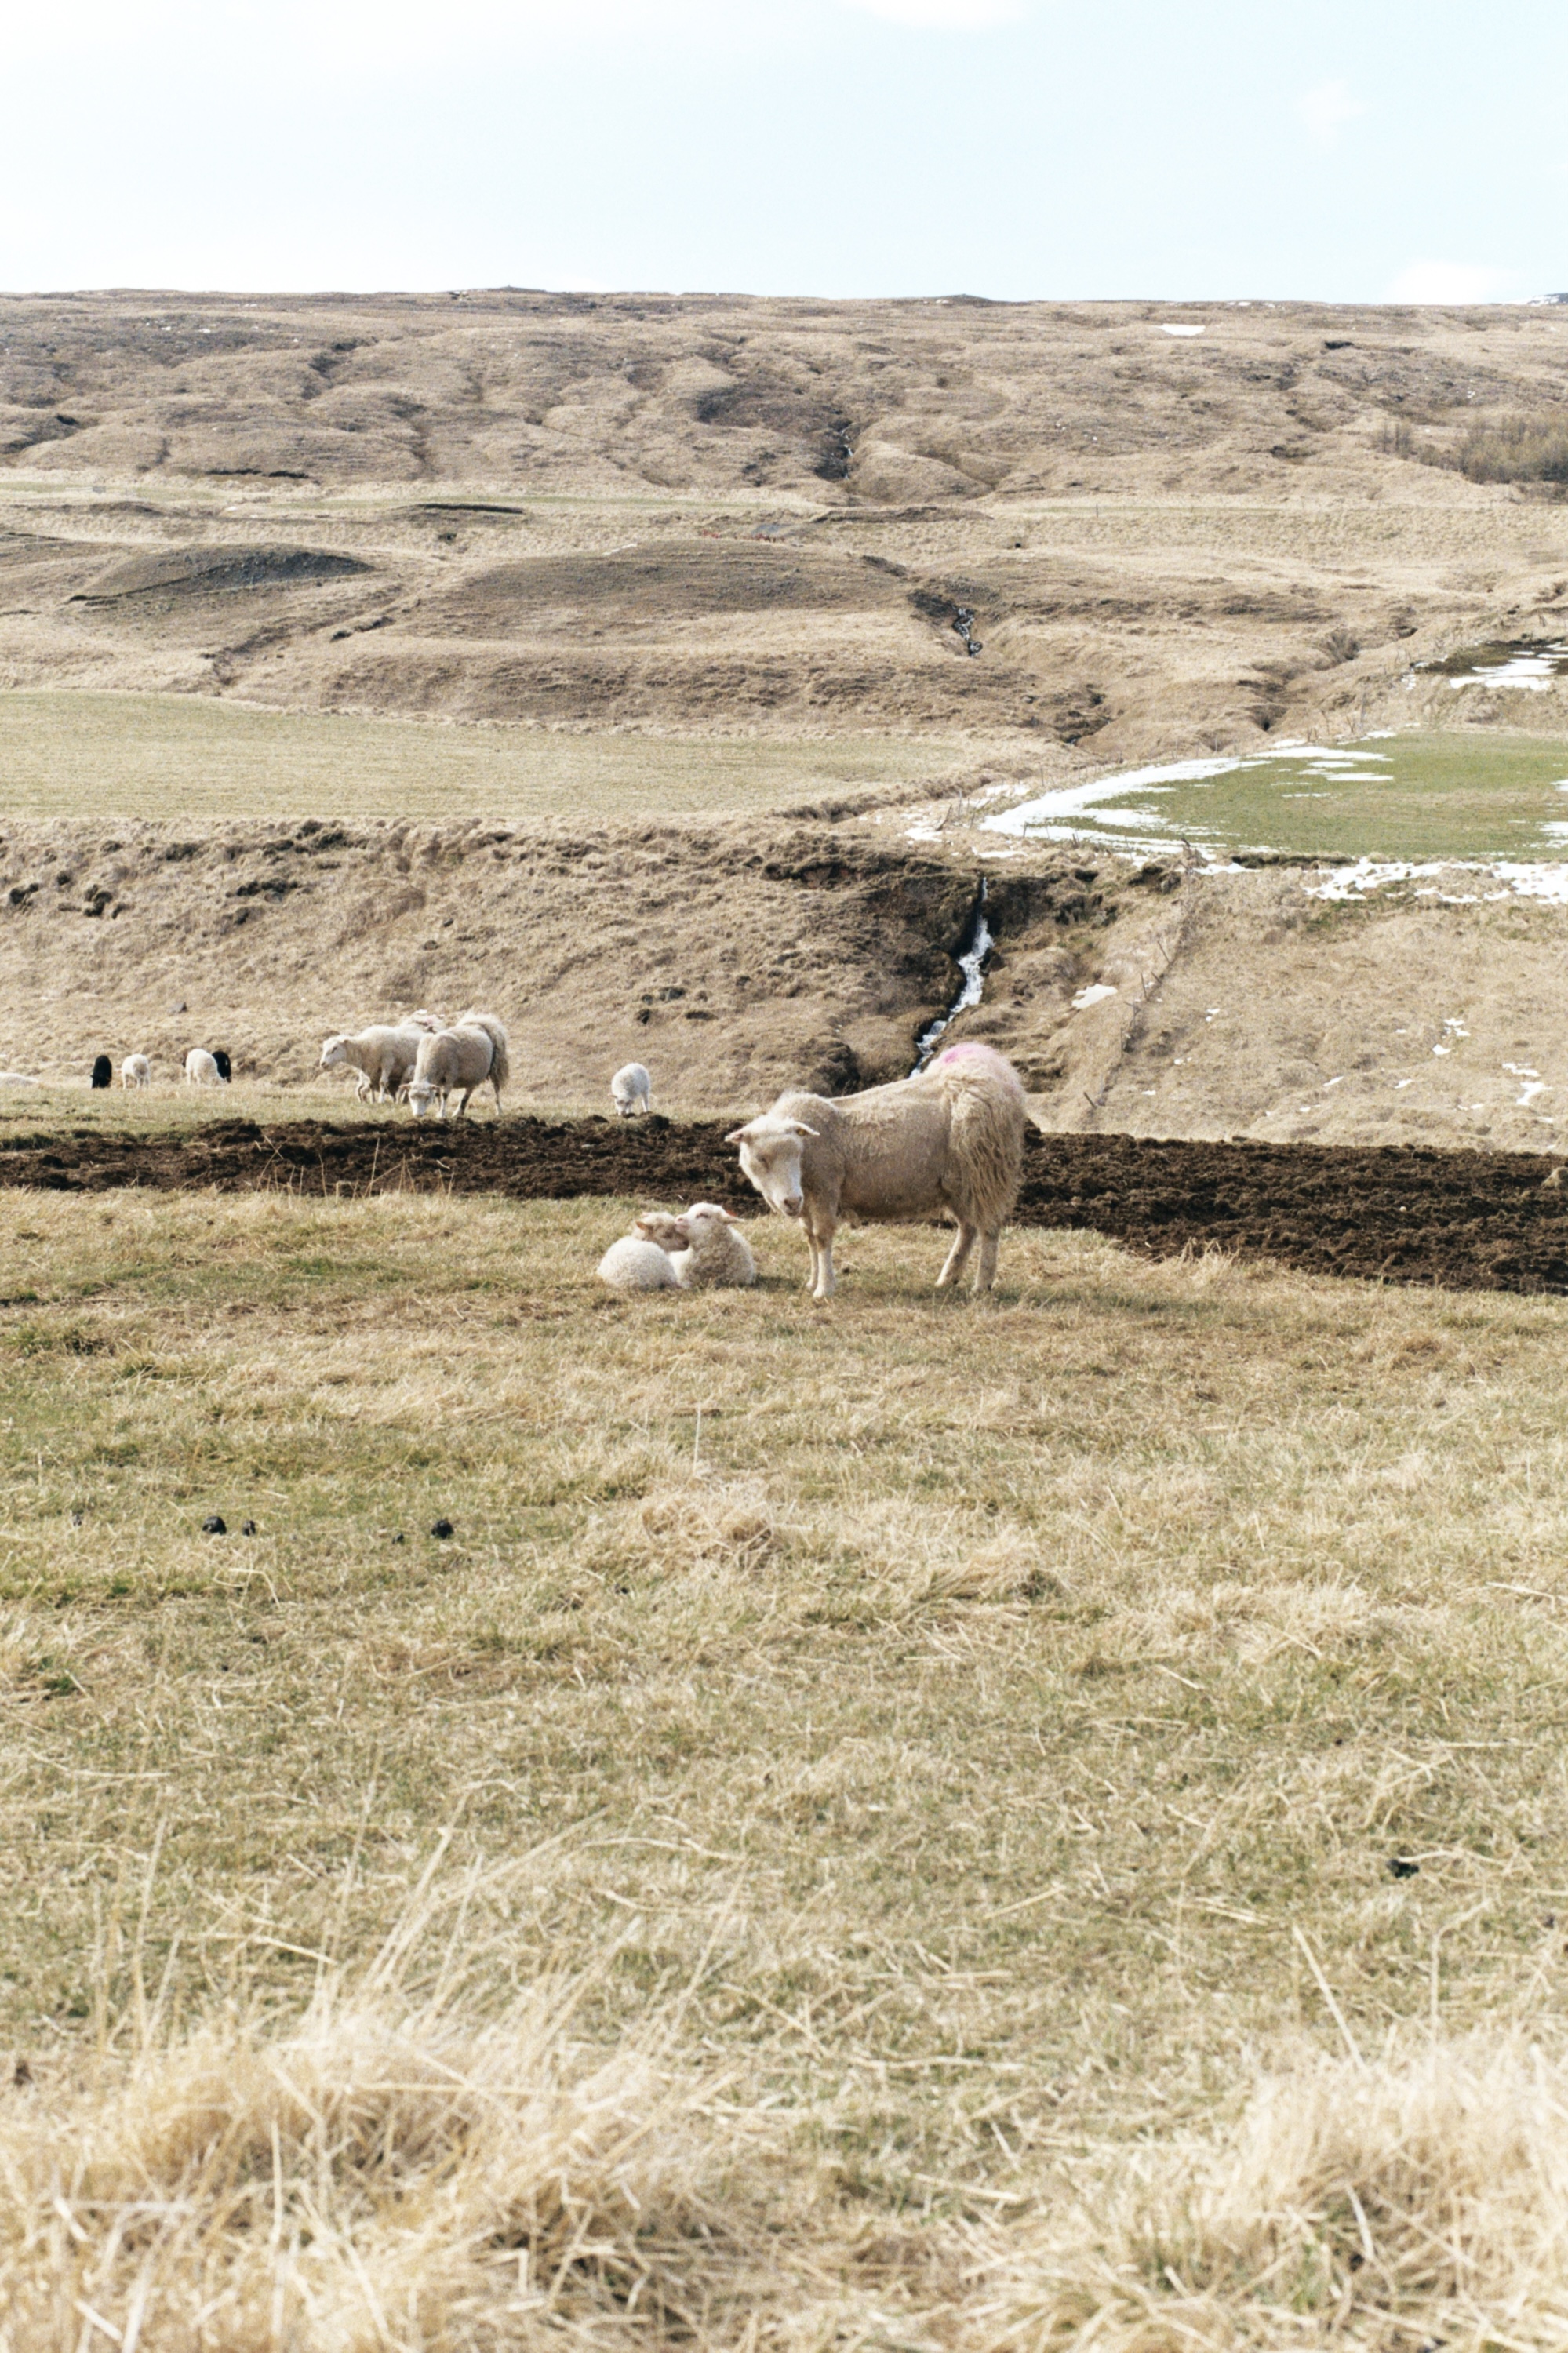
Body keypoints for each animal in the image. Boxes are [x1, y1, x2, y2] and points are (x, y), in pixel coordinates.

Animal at [406, 1012, 508, 1120]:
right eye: (411, 1097)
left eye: (427, 1097)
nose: (417, 1115)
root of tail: (480, 1022)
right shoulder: (438, 1080)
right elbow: (437, 1094)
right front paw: (439, 1112)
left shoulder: (450, 1075)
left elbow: (444, 1095)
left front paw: (442, 1114)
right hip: (473, 1074)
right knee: (469, 1090)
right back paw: (459, 1112)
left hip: (496, 1068)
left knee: (496, 1088)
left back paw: (499, 1111)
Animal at [725, 1040, 1026, 1300]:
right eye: (761, 1159)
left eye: (798, 1153)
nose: (790, 1201)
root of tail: (995, 1075)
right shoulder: (808, 1199)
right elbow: (809, 1238)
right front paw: (812, 1281)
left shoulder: (825, 1189)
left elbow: (822, 1238)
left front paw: (824, 1288)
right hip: (956, 1184)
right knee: (968, 1228)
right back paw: (947, 1279)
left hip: (986, 1170)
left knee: (989, 1228)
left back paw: (982, 1284)